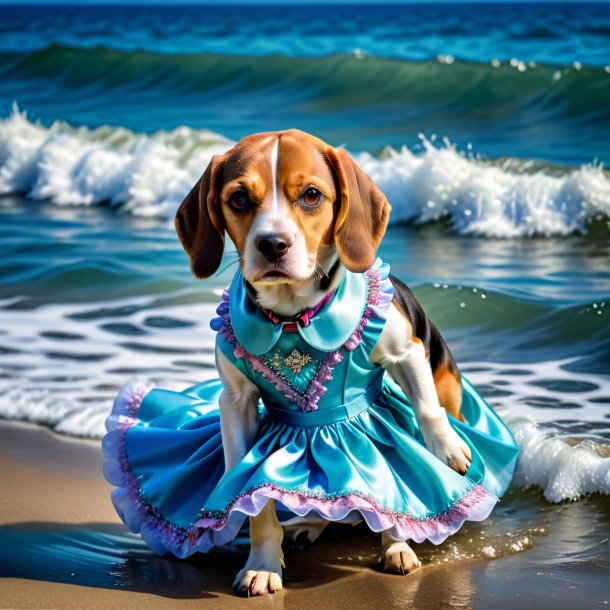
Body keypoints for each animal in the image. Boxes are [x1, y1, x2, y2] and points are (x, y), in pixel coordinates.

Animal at [172, 129, 470, 592]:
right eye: (239, 198)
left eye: (311, 195)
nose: (272, 243)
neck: (292, 317)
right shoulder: (236, 402)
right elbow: (253, 500)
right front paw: (262, 565)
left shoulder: (407, 353)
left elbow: (425, 408)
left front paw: (447, 448)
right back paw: (311, 526)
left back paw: (397, 547)